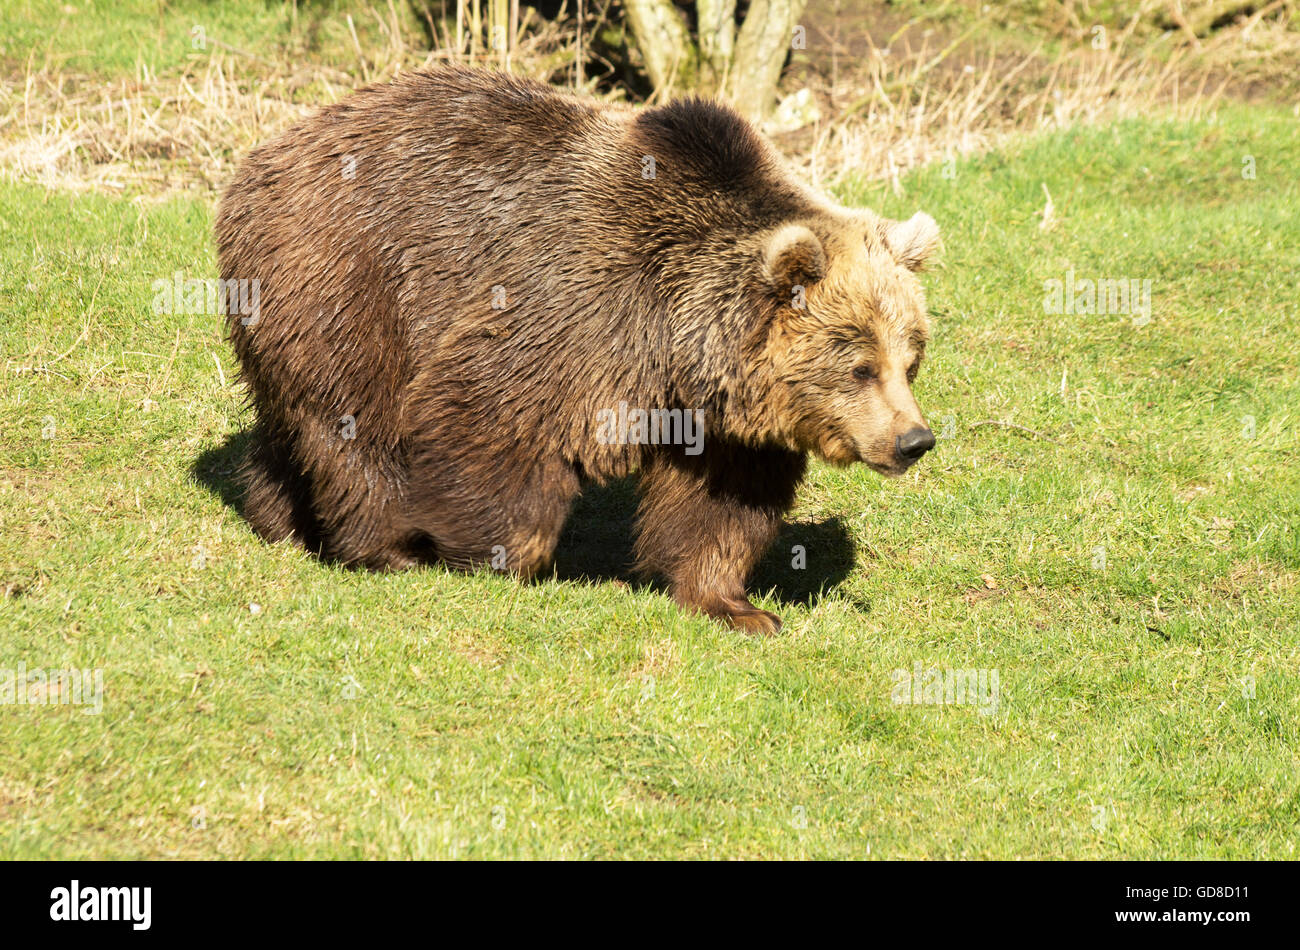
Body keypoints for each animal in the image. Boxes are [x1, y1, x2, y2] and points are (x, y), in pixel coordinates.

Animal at [215, 66, 939, 635]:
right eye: (860, 366)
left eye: (909, 361)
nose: (914, 440)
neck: (680, 338)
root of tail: (261, 157)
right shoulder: (577, 309)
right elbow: (489, 417)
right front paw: (497, 555)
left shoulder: (720, 413)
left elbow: (722, 504)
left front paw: (736, 605)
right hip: (349, 278)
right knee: (360, 424)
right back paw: (385, 547)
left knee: (294, 420)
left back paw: (277, 515)